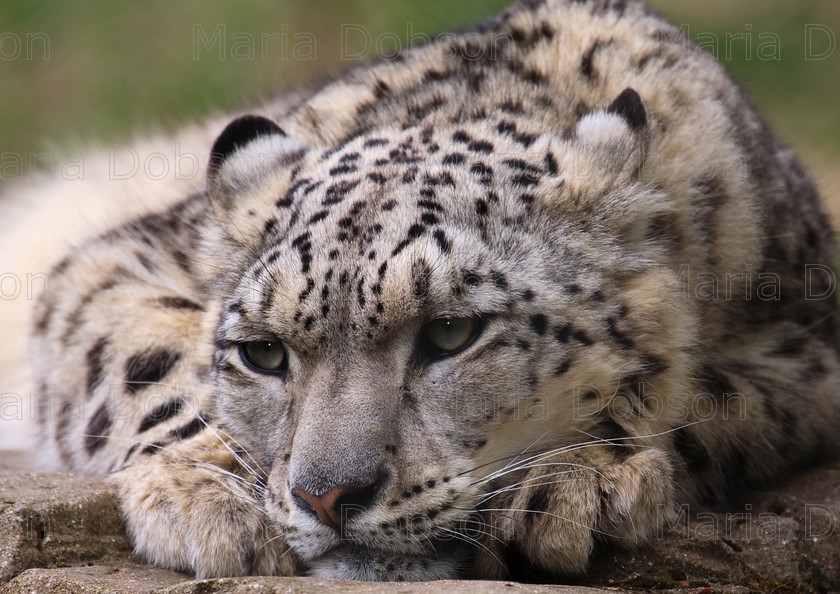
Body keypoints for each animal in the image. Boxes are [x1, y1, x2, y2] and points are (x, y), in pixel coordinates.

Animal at [3, 0, 836, 584]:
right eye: (262, 352)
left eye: (450, 333)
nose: (327, 497)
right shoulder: (118, 258)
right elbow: (145, 363)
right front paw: (210, 498)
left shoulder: (803, 354)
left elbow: (705, 399)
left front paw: (572, 486)